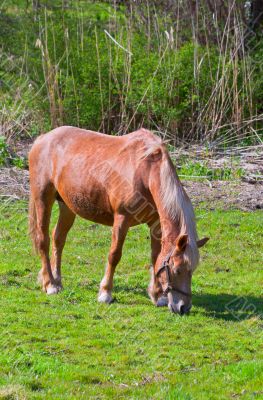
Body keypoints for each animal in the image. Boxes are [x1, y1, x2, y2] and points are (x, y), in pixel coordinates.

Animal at [28, 126, 209, 314]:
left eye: (192, 270)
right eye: (177, 269)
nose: (183, 307)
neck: (145, 172)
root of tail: (43, 138)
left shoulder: (155, 223)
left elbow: (155, 257)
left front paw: (158, 296)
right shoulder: (122, 219)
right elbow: (114, 255)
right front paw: (105, 293)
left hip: (67, 206)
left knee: (58, 239)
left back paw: (57, 280)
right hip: (43, 199)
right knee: (43, 240)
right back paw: (50, 284)